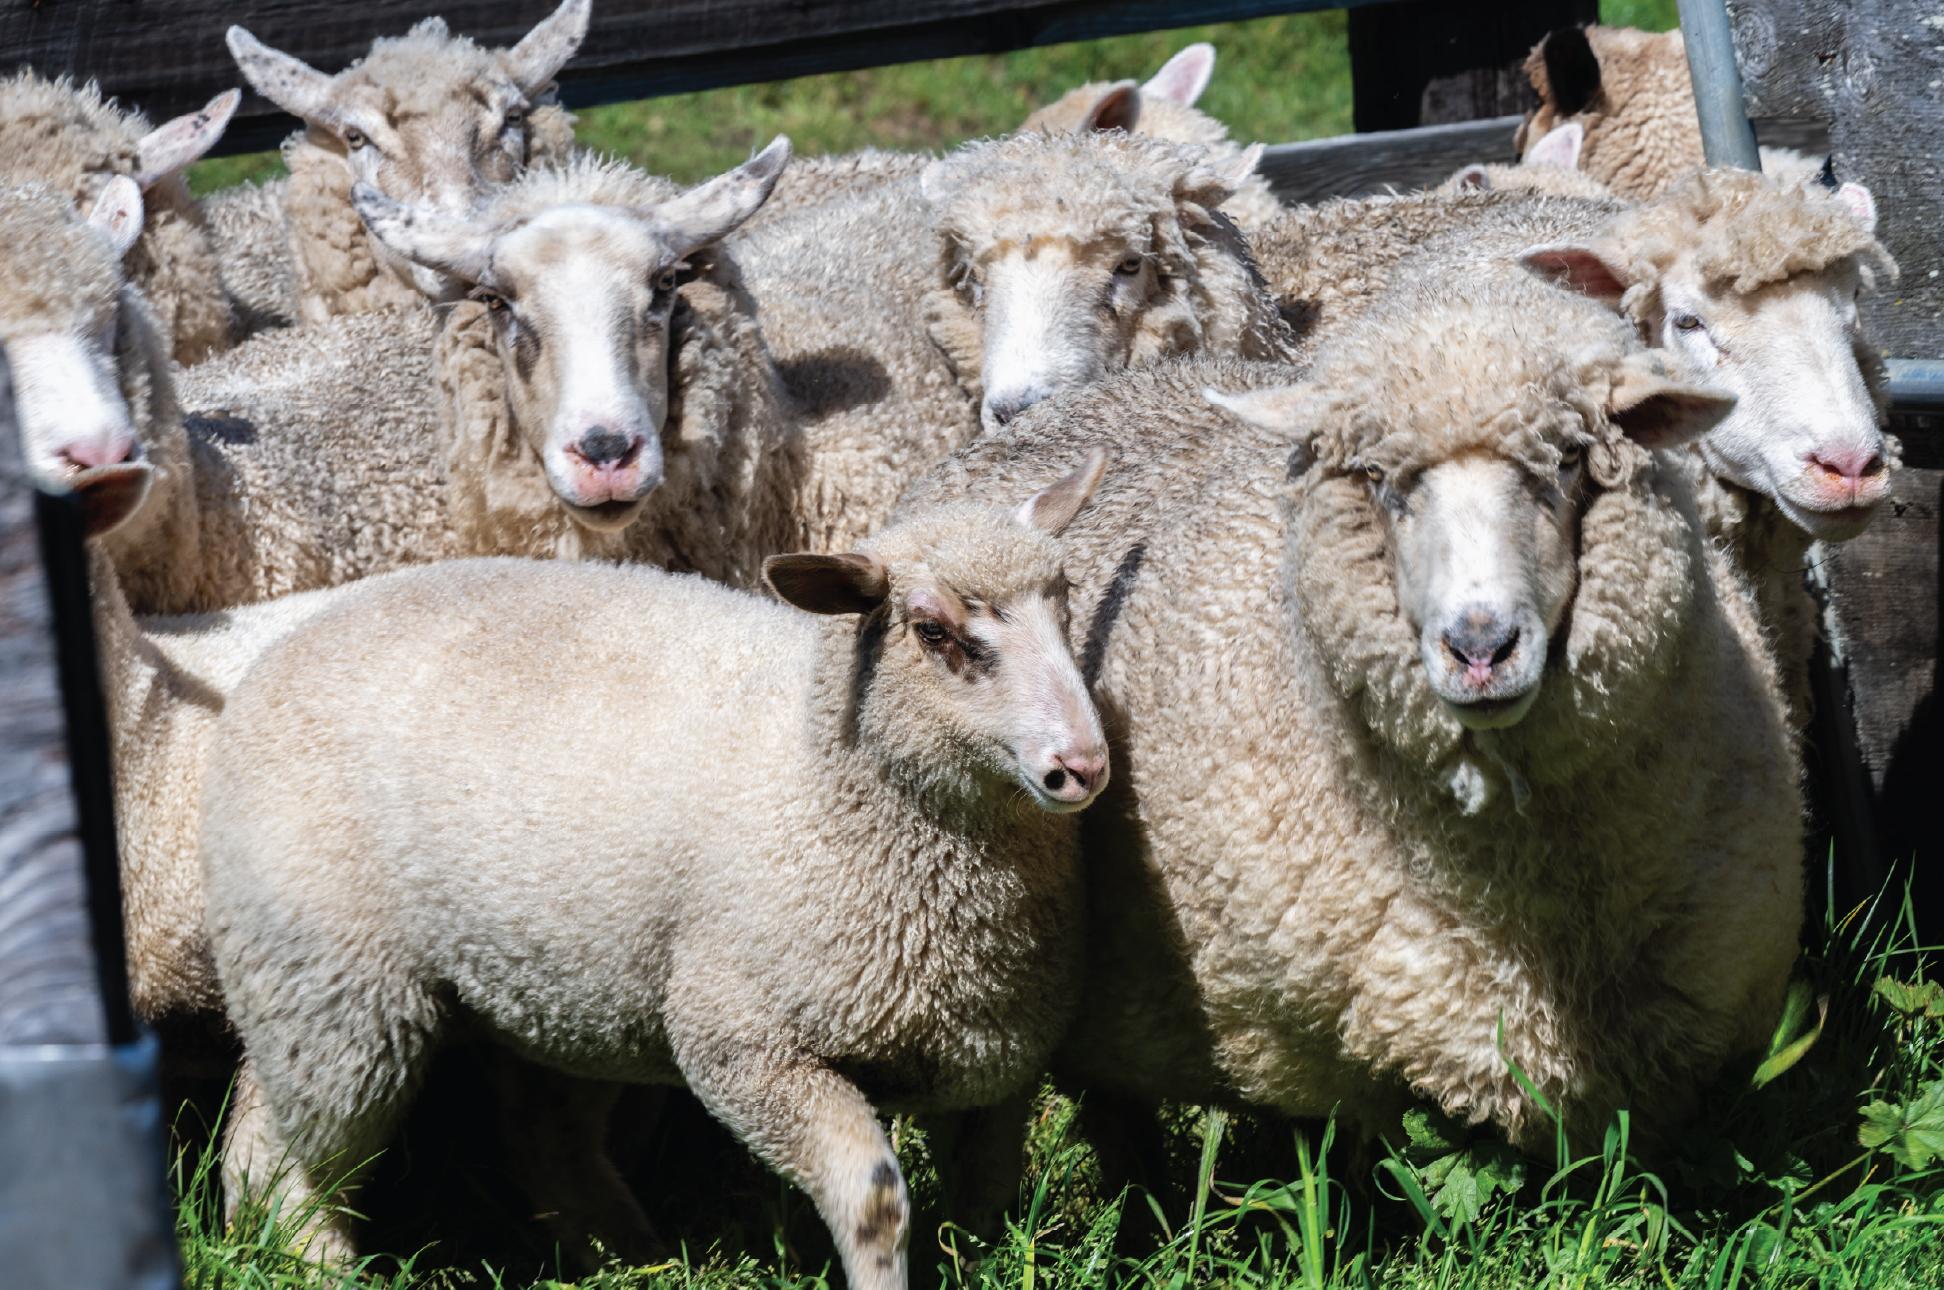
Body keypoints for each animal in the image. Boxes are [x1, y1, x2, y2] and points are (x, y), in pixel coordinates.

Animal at [201, 454, 1113, 1283]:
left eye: (1065, 604)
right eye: (933, 631)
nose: (1082, 766)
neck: (813, 775)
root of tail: (290, 643)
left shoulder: (993, 1060)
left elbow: (988, 1197)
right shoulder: (743, 1041)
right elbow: (876, 1202)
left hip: (562, 988)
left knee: (542, 1134)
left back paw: (627, 1255)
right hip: (330, 979)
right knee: (281, 1148)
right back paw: (312, 1262)